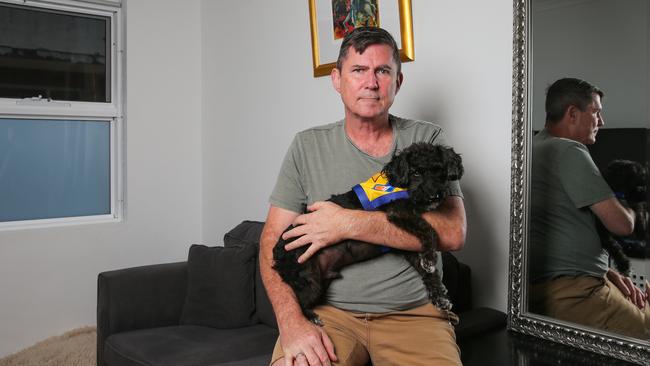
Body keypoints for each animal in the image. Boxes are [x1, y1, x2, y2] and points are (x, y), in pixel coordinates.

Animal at [272, 142, 460, 322]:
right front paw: (429, 258)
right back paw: (312, 317)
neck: (400, 185)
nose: (434, 196)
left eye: (439, 170)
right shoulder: (398, 212)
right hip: (310, 280)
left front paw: (439, 296)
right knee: (298, 302)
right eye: (415, 173)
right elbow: (429, 230)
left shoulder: (406, 245)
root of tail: (277, 253)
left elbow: (426, 271)